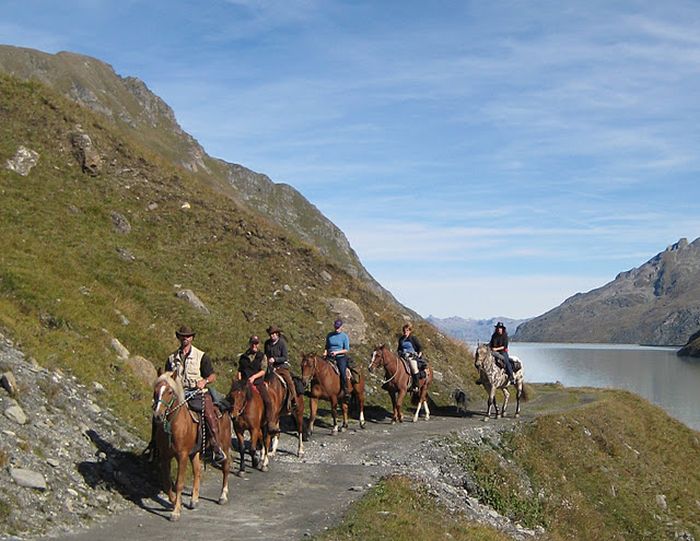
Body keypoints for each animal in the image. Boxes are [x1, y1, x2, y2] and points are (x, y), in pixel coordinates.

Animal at [152, 372, 231, 520]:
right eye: (155, 391)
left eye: (170, 392)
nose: (158, 416)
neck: (174, 424)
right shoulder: (165, 457)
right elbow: (166, 483)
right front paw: (175, 502)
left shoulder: (182, 456)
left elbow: (179, 484)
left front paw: (176, 511)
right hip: (194, 452)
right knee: (198, 471)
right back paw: (194, 500)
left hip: (225, 446)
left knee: (226, 467)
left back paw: (223, 496)